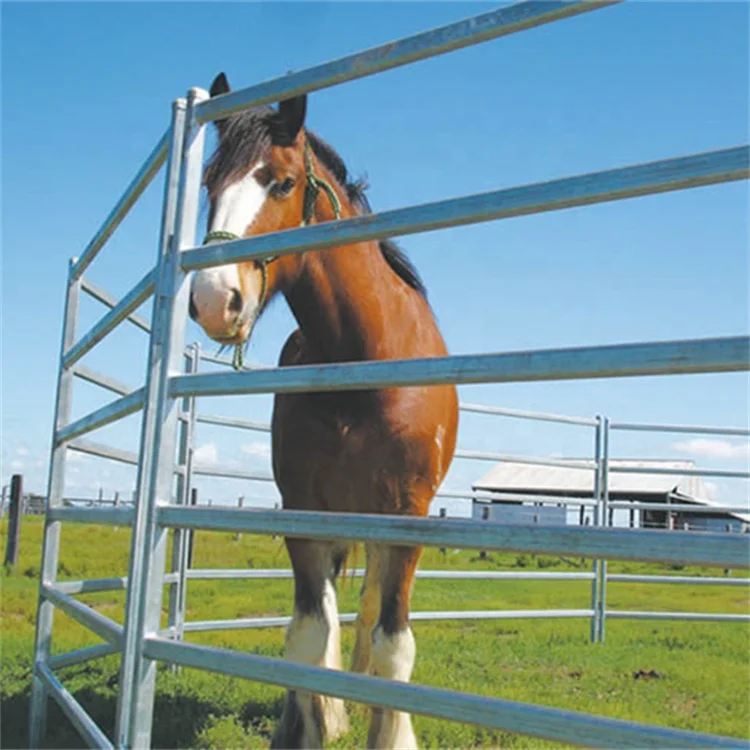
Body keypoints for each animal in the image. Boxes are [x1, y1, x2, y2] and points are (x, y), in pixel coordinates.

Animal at [188, 72, 459, 750]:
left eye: (281, 182)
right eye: (209, 184)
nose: (213, 299)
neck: (363, 364)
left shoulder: (406, 518)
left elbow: (392, 642)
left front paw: (391, 729)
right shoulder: (305, 512)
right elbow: (310, 637)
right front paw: (313, 722)